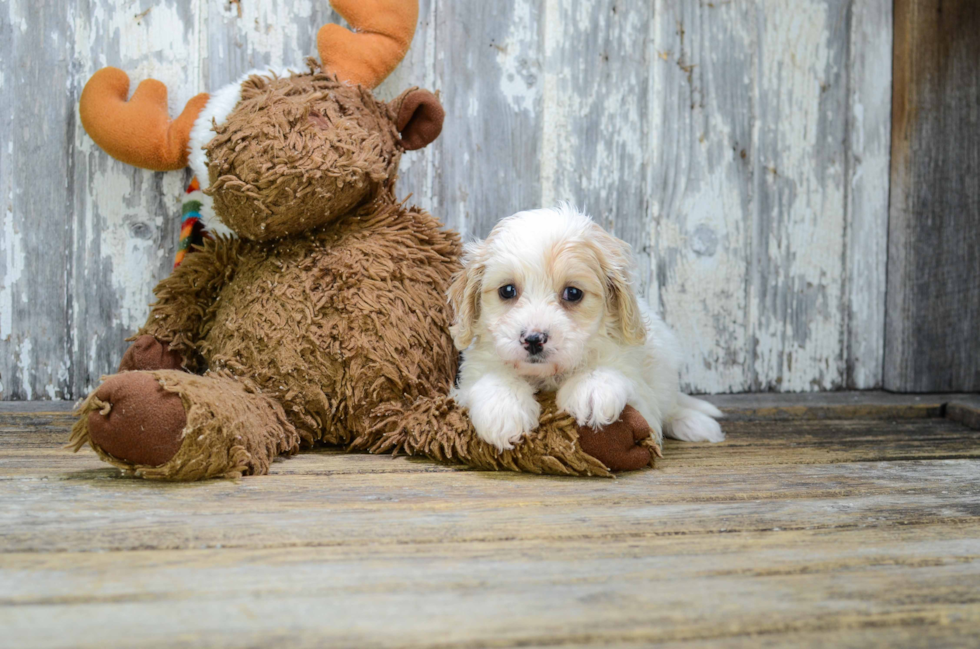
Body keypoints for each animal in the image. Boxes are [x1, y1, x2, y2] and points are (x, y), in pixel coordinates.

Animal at [448, 205, 724, 454]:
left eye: (572, 293)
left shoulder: (642, 398)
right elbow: (492, 376)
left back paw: (695, 423)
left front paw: (591, 389)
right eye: (507, 290)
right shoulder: (472, 372)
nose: (534, 339)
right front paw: (503, 409)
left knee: (671, 406)